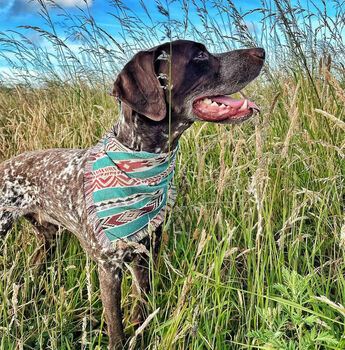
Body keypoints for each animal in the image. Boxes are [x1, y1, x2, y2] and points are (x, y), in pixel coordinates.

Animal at [0, 39, 264, 348]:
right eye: (200, 55)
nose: (261, 52)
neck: (140, 162)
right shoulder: (109, 268)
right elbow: (116, 326)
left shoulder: (146, 254)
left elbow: (142, 307)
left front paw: (141, 334)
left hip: (48, 239)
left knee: (34, 270)